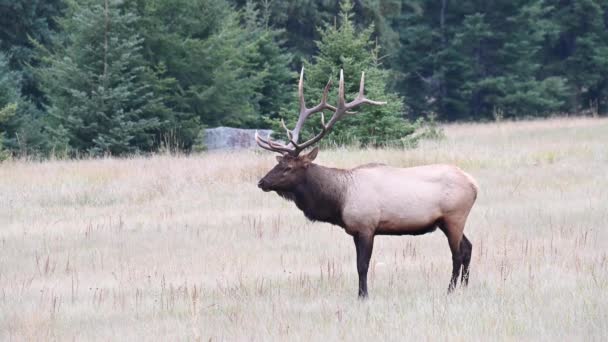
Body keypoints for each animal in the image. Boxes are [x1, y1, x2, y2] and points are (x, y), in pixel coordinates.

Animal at [254, 68, 478, 298]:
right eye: (278, 163)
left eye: (288, 168)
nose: (262, 182)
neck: (339, 200)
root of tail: (474, 184)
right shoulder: (355, 231)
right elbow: (358, 265)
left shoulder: (366, 226)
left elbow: (363, 265)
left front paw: (363, 295)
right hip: (446, 221)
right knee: (468, 247)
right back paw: (465, 286)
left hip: (454, 216)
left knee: (457, 253)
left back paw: (450, 289)